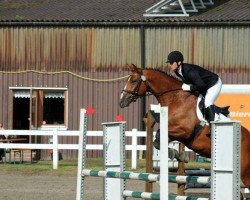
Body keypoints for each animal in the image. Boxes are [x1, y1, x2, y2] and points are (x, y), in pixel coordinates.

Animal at [119, 63, 250, 189]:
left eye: (133, 81)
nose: (121, 102)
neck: (177, 100)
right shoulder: (175, 133)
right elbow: (158, 140)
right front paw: (178, 155)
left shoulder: (185, 132)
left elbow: (161, 134)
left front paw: (175, 154)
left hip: (244, 173)